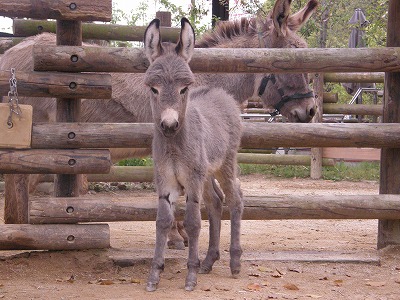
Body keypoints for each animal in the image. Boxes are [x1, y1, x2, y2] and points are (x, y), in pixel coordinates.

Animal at [144, 18, 244, 290]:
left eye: (184, 88)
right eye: (153, 89)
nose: (169, 125)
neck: (174, 146)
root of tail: (221, 94)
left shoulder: (191, 180)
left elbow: (192, 222)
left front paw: (190, 276)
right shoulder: (165, 180)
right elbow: (163, 221)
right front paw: (154, 275)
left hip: (224, 164)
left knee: (235, 199)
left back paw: (235, 263)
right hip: (206, 174)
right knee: (216, 202)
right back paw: (209, 261)